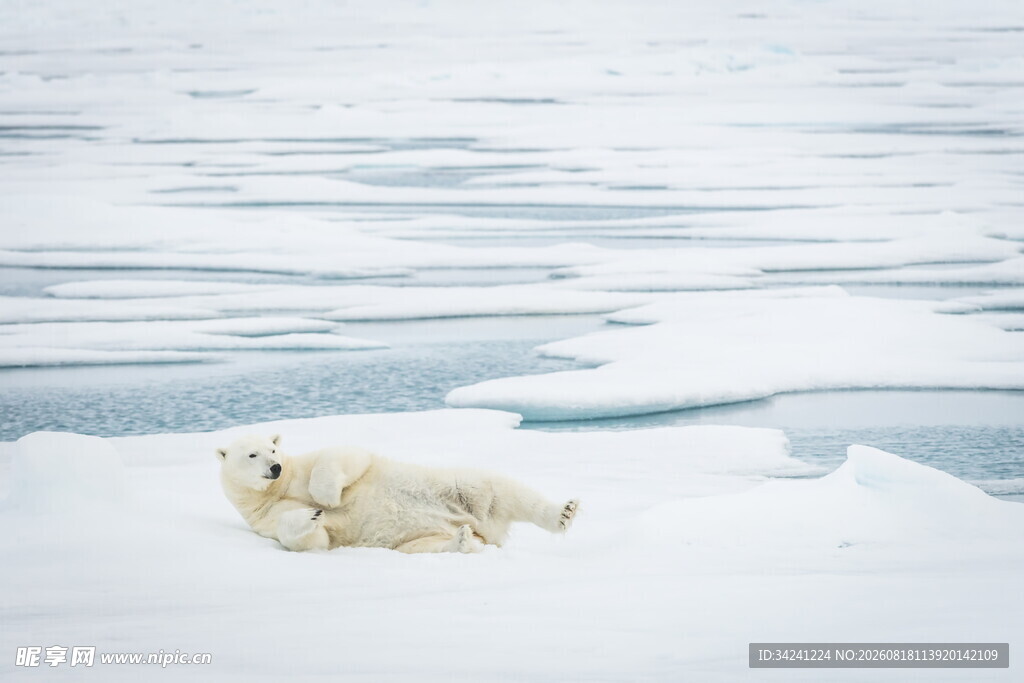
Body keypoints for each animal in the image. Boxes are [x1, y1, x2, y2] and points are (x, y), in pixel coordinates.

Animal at [215, 434, 579, 553]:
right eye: (252, 454)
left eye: (273, 449)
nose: (274, 467)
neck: (277, 489)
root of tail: (489, 532)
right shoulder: (263, 518)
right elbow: (307, 538)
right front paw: (312, 515)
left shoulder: (304, 466)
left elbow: (344, 457)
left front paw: (325, 500)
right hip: (416, 537)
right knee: (426, 546)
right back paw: (461, 541)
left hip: (460, 491)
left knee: (500, 490)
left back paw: (563, 512)